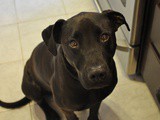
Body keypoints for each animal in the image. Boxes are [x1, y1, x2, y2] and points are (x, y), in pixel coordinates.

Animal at [0, 9, 129, 119]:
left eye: (104, 37)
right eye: (73, 43)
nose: (97, 74)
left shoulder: (98, 100)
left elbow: (93, 112)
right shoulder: (66, 109)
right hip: (31, 87)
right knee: (40, 101)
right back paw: (51, 115)